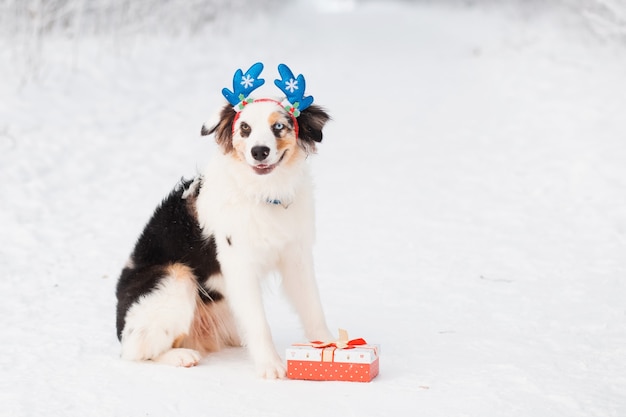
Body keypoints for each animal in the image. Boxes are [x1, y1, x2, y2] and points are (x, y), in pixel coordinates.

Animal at [115, 63, 334, 378]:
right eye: (245, 128)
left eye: (278, 127)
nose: (259, 151)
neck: (263, 194)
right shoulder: (239, 265)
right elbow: (259, 323)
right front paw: (270, 366)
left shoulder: (296, 256)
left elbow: (313, 308)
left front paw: (332, 347)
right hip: (174, 277)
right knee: (138, 351)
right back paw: (180, 356)